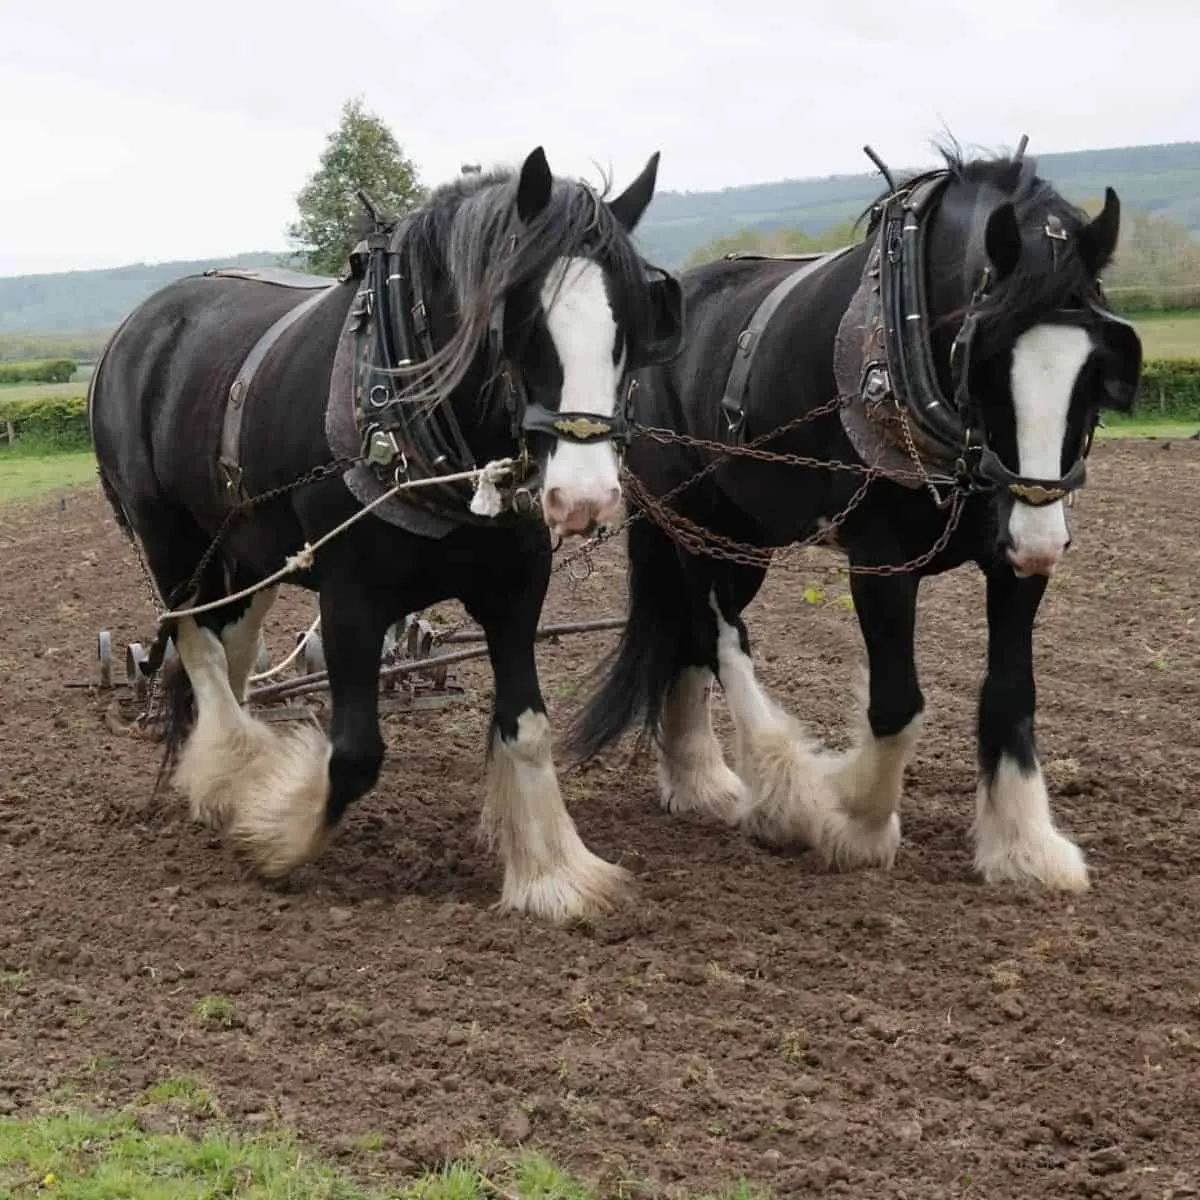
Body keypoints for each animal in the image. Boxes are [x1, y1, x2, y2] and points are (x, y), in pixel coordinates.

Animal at [89, 146, 685, 922]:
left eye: (632, 328)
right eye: (519, 320)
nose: (585, 496)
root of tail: (138, 325)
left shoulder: (516, 586)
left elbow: (527, 728)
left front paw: (554, 874)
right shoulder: (351, 599)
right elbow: (355, 753)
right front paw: (275, 837)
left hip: (248, 553)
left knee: (232, 647)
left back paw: (221, 780)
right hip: (171, 544)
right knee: (198, 645)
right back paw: (235, 774)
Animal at [568, 145, 1143, 893]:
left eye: (1097, 370)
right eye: (981, 360)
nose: (1041, 538)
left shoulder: (1013, 558)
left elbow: (1013, 691)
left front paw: (1025, 845)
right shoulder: (879, 560)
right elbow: (897, 701)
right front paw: (853, 820)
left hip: (747, 538)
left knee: (691, 634)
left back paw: (700, 782)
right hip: (691, 523)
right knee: (718, 631)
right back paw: (780, 790)